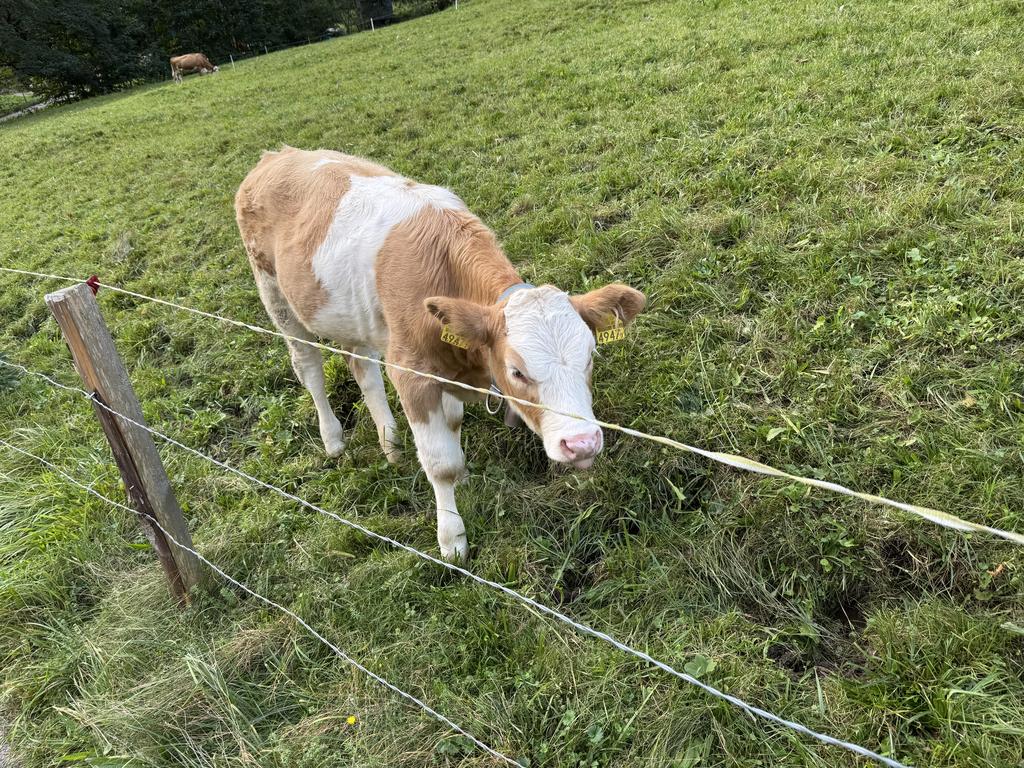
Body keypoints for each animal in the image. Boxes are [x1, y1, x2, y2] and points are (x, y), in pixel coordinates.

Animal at [235, 147, 643, 561]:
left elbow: (453, 424)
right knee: (309, 367)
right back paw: (333, 439)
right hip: (276, 295)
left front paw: (461, 476)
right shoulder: (412, 372)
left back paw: (391, 443)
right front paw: (451, 539)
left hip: (352, 316)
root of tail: (277, 155)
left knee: (362, 367)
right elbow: (440, 462)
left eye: (590, 356)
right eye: (516, 371)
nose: (582, 443)